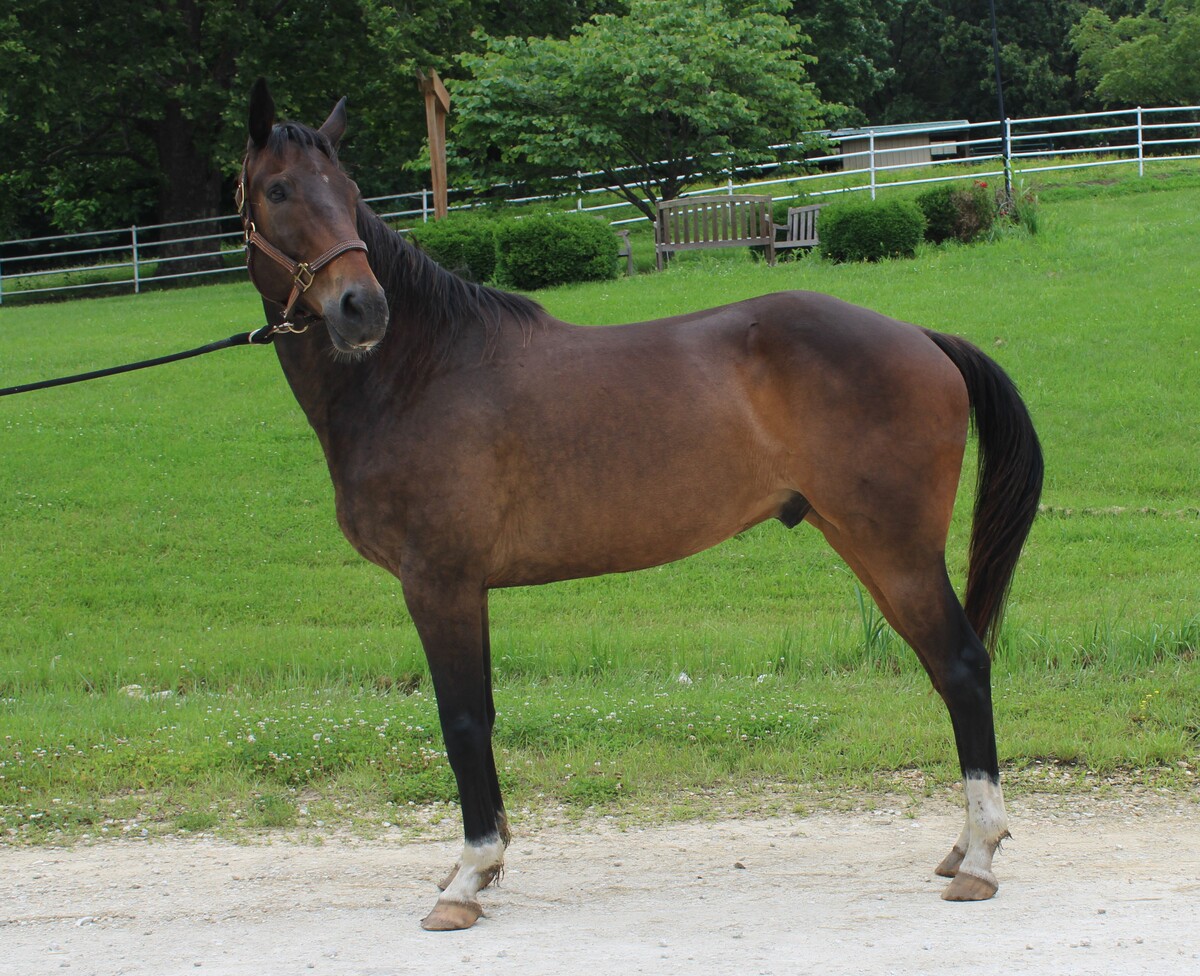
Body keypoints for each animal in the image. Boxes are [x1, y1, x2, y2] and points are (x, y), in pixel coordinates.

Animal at [237, 81, 1043, 931]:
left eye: (347, 191)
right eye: (279, 190)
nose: (361, 308)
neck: (419, 371)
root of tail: (921, 336)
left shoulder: (439, 583)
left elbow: (461, 722)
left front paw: (468, 877)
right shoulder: (463, 590)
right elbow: (481, 713)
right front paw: (483, 868)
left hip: (895, 549)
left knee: (961, 665)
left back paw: (981, 857)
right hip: (868, 546)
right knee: (945, 669)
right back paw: (963, 845)